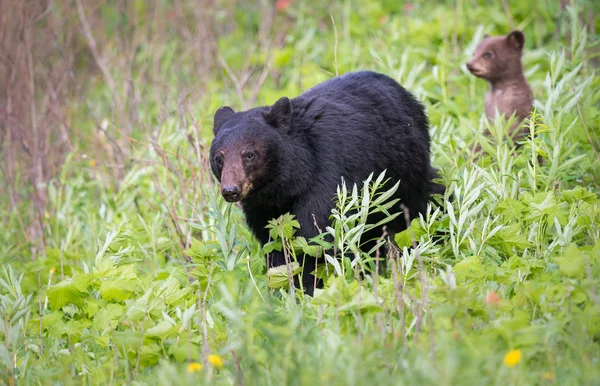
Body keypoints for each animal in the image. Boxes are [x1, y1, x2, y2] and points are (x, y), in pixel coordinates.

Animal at [209, 71, 442, 294]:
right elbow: (275, 245)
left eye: (249, 154)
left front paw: (310, 288)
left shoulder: (327, 178)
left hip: (407, 174)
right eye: (219, 157)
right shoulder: (262, 209)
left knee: (423, 206)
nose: (230, 190)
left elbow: (316, 238)